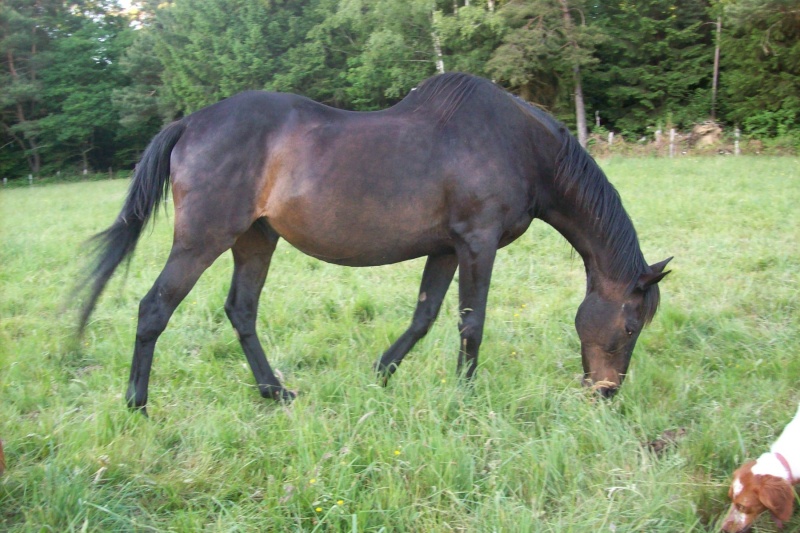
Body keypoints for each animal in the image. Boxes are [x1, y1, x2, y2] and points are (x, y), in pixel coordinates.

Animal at [79, 72, 668, 412]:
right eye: (630, 325)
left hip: (255, 239)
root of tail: (191, 123)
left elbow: (424, 317)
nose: (606, 394)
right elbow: (471, 323)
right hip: (203, 239)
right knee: (154, 308)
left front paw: (383, 373)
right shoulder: (477, 243)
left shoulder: (446, 248)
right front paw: (466, 396)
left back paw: (275, 393)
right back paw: (138, 405)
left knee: (241, 311)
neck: (517, 143)